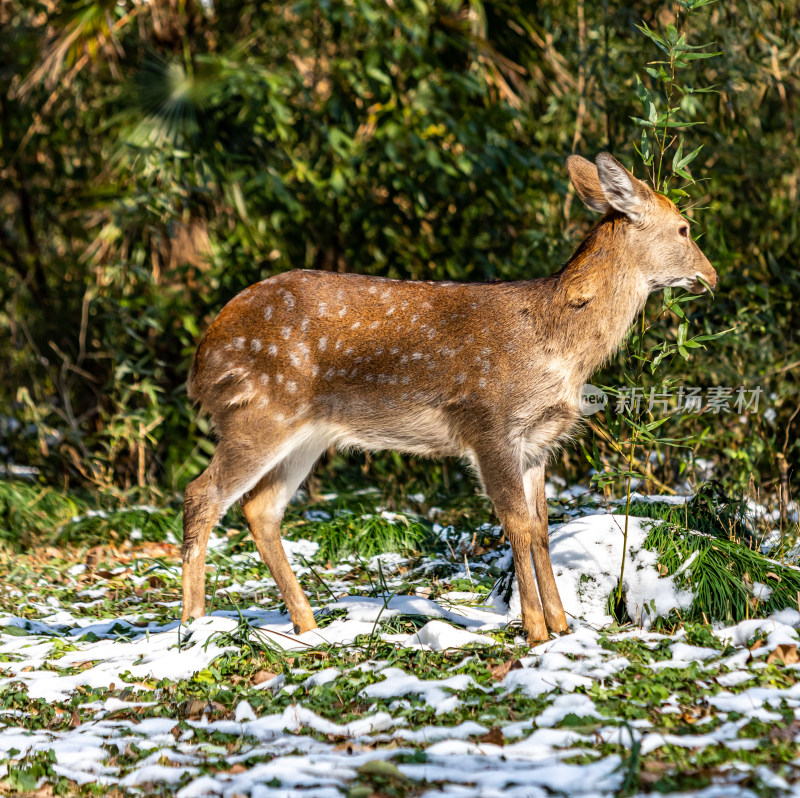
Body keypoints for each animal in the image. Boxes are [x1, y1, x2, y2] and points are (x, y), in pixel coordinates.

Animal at [183, 155, 720, 644]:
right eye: (684, 228)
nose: (712, 276)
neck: (559, 347)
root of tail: (201, 359)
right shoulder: (489, 424)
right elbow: (516, 524)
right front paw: (536, 630)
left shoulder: (536, 443)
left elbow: (542, 528)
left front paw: (563, 626)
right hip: (258, 411)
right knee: (201, 493)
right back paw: (194, 624)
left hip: (304, 435)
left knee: (260, 509)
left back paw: (308, 625)